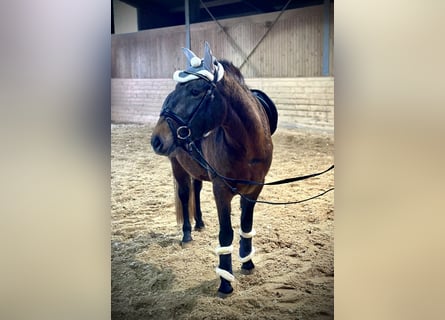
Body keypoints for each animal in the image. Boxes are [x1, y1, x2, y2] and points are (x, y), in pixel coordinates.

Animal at [150, 42, 274, 298]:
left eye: (196, 91)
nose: (156, 139)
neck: (246, 145)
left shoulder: (254, 190)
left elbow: (246, 225)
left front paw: (247, 262)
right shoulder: (221, 191)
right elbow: (226, 233)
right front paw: (226, 282)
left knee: (195, 191)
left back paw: (199, 223)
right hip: (177, 166)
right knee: (185, 194)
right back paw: (187, 233)